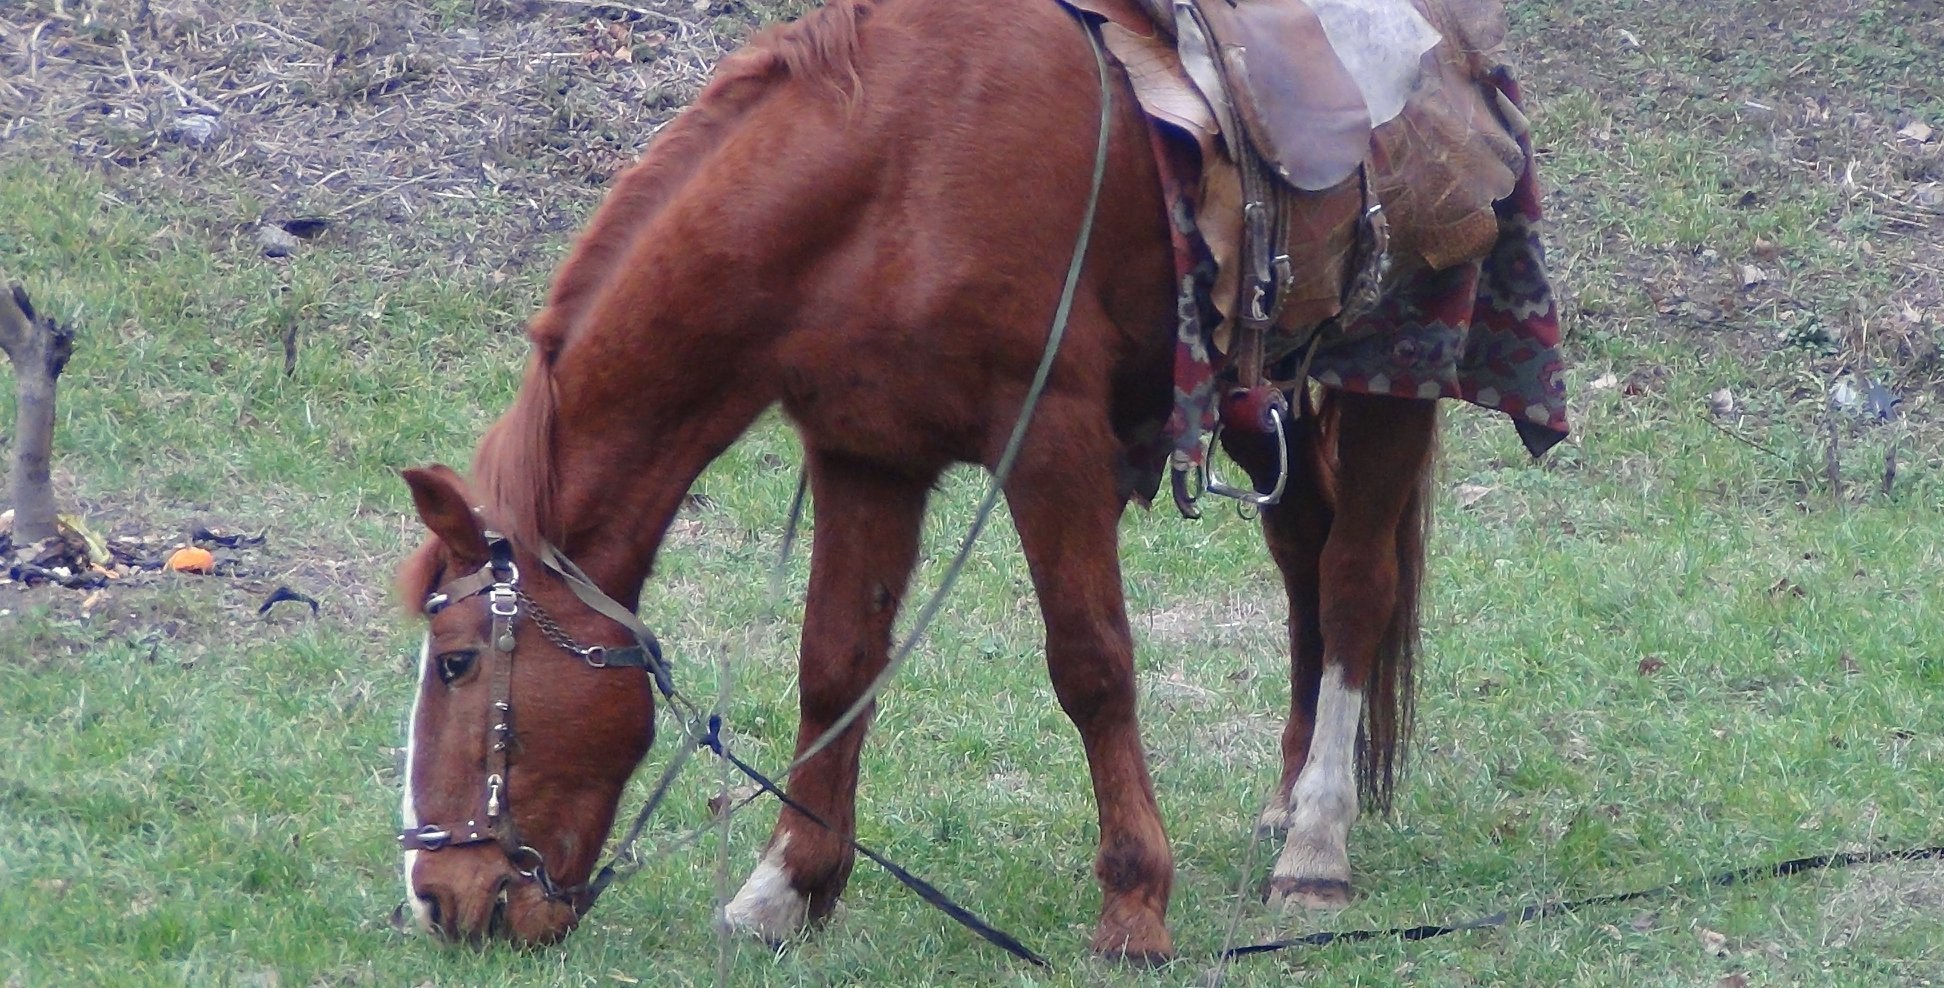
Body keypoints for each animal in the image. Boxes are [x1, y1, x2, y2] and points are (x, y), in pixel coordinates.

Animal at [398, 0, 1430, 964]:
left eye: (456, 662)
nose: (436, 899)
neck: (889, 178)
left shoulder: (1050, 440)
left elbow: (1093, 666)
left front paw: (1135, 905)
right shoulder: (865, 453)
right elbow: (835, 665)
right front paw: (784, 888)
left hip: (1392, 377)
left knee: (1356, 583)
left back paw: (1316, 847)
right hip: (1265, 392)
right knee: (1303, 551)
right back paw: (1288, 800)